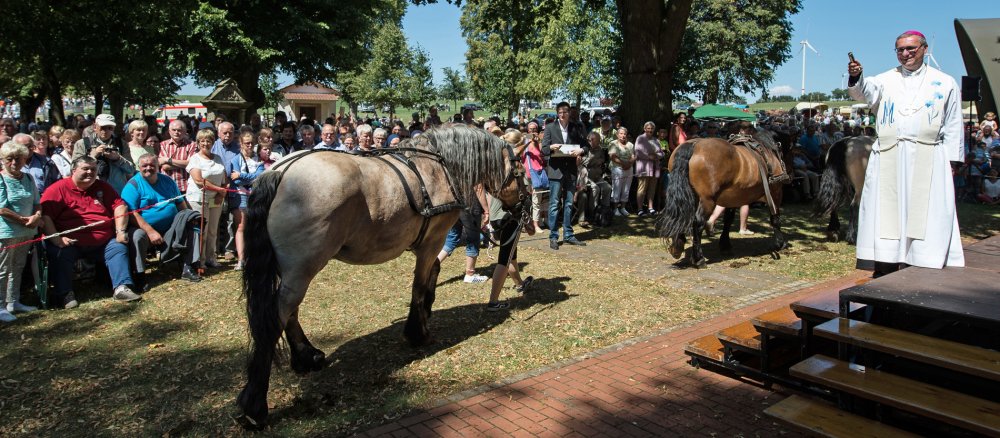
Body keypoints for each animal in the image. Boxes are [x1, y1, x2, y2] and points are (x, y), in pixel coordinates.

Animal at [235, 125, 530, 428]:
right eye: (521, 170)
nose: (524, 205)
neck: (440, 165)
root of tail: (280, 172)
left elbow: (433, 274)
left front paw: (427, 310)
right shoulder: (432, 240)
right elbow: (419, 285)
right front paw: (418, 331)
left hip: (293, 270)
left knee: (289, 312)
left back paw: (306, 357)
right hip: (302, 268)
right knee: (274, 320)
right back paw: (255, 405)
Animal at [658, 128, 790, 268]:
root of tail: (693, 145)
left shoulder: (733, 197)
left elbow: (728, 220)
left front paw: (725, 244)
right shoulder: (775, 191)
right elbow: (775, 218)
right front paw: (779, 243)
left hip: (689, 194)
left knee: (681, 215)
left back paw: (677, 246)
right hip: (707, 200)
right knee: (698, 222)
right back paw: (698, 258)